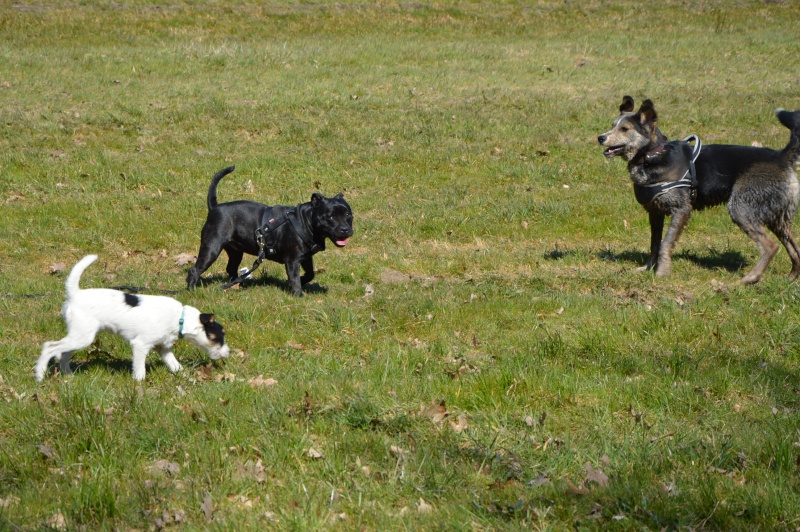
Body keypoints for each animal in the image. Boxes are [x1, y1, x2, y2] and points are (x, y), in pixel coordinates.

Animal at [188, 166, 354, 296]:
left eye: (348, 215)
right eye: (330, 217)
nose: (345, 229)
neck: (305, 220)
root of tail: (215, 207)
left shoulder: (306, 257)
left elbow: (310, 274)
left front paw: (301, 281)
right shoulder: (292, 260)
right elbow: (294, 278)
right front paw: (298, 294)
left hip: (236, 251)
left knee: (231, 268)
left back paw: (237, 285)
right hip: (212, 248)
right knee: (195, 270)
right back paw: (191, 290)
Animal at [596, 97, 800, 284]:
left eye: (624, 129)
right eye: (612, 126)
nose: (600, 137)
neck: (652, 156)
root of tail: (781, 157)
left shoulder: (681, 210)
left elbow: (665, 243)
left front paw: (662, 272)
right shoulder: (655, 212)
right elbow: (654, 243)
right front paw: (647, 268)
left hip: (742, 208)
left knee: (770, 246)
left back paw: (750, 278)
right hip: (778, 218)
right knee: (794, 248)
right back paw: (790, 278)